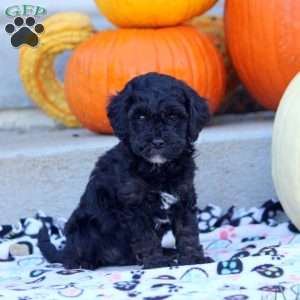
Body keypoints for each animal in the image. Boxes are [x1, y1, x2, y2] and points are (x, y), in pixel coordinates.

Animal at [37, 72, 211, 270]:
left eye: (173, 116)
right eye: (140, 117)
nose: (157, 142)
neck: (158, 169)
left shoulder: (183, 195)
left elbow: (188, 229)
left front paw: (193, 258)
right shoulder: (134, 205)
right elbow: (146, 236)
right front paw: (156, 263)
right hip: (84, 228)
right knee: (73, 256)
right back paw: (84, 263)